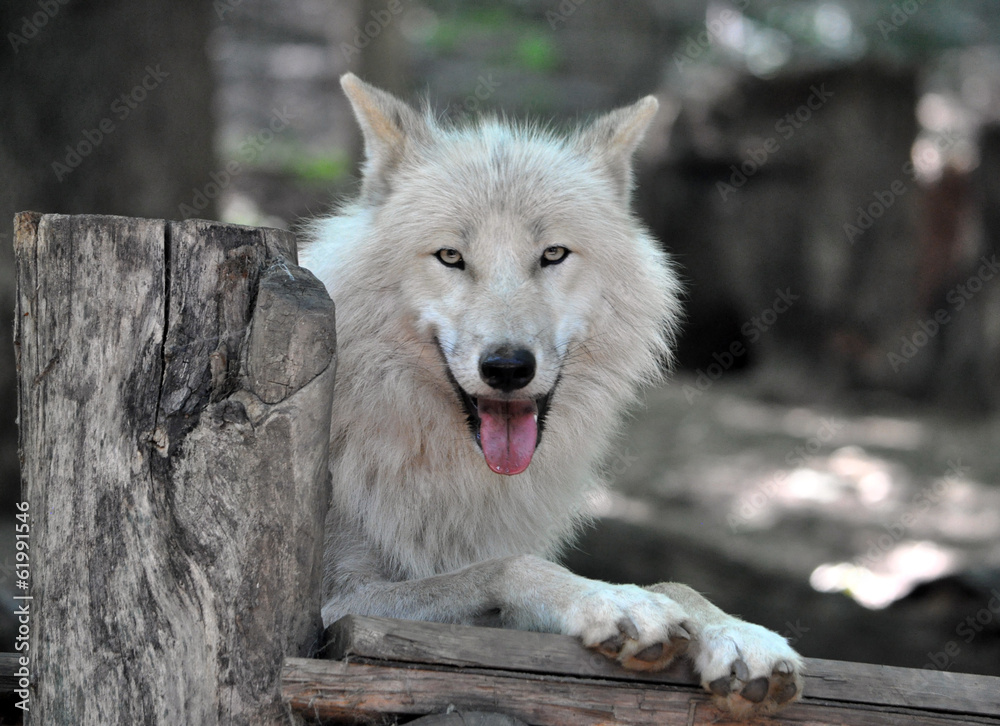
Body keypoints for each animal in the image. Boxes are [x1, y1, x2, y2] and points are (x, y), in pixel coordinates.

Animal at [300, 74, 803, 718]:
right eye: (450, 257)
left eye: (553, 255)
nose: (507, 367)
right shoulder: (333, 610)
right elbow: (510, 566)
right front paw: (615, 603)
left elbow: (676, 583)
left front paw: (739, 633)